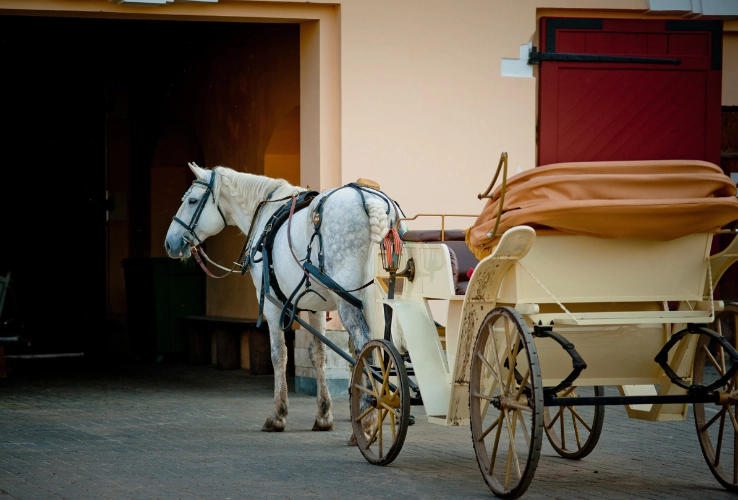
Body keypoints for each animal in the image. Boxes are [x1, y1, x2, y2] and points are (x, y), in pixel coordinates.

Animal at [166, 164, 400, 438]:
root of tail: (372, 201)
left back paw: (366, 420)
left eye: (192, 201)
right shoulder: (315, 307)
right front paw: (323, 414)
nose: (170, 242)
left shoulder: (272, 304)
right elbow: (318, 354)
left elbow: (279, 354)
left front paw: (278, 415)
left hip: (349, 302)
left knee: (366, 347)